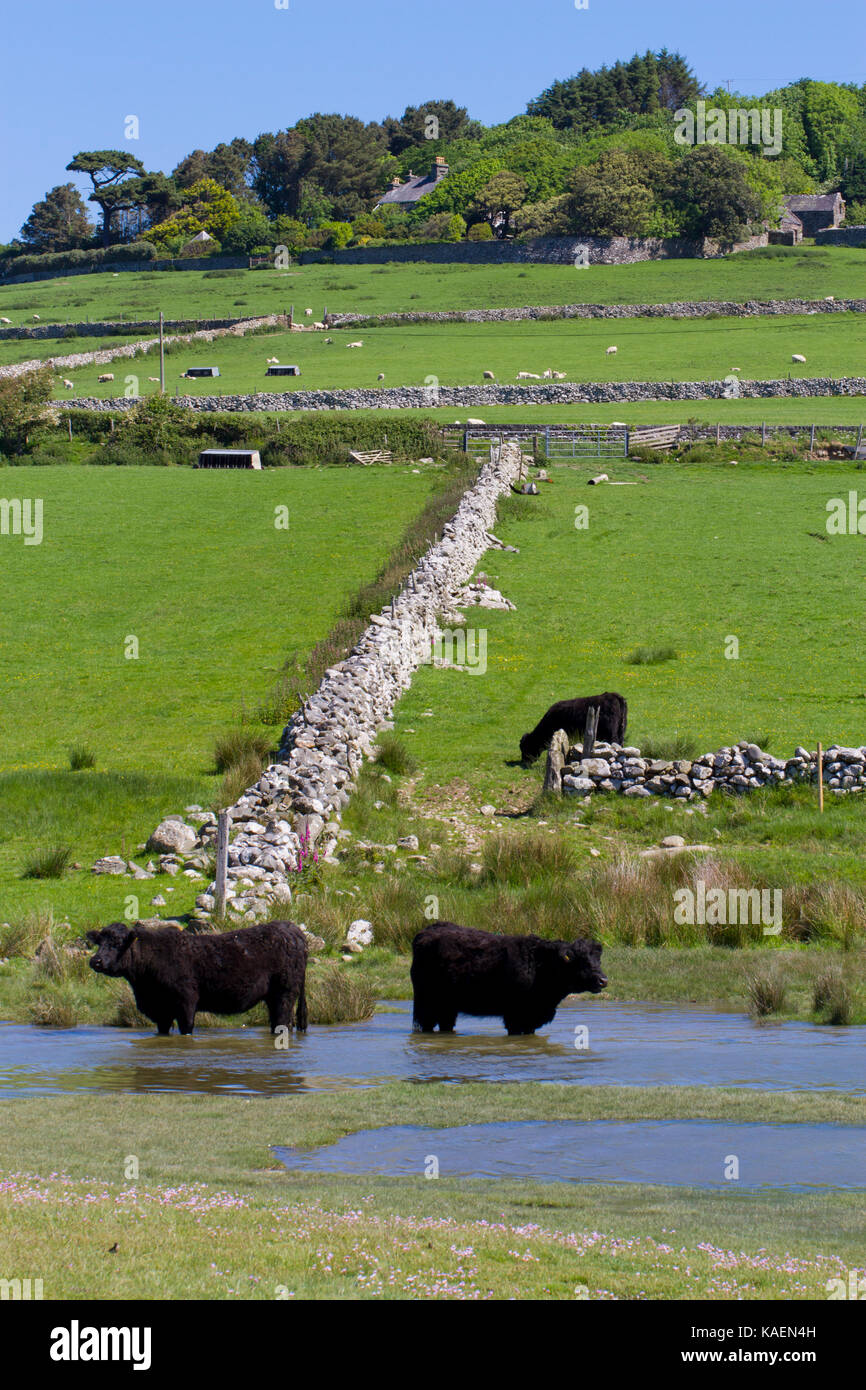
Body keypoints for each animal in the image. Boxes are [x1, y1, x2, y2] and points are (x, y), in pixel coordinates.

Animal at [87, 917, 308, 1039]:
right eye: (99, 942)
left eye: (117, 943)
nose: (95, 961)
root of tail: (291, 929)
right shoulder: (161, 1011)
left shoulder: (185, 1003)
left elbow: (186, 1028)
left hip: (285, 994)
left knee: (282, 1023)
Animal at [408, 917, 606, 1039]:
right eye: (582, 961)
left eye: (598, 959)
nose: (603, 980)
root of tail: (426, 931)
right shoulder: (514, 1017)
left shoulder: (531, 1019)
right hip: (427, 1004)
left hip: (447, 1008)